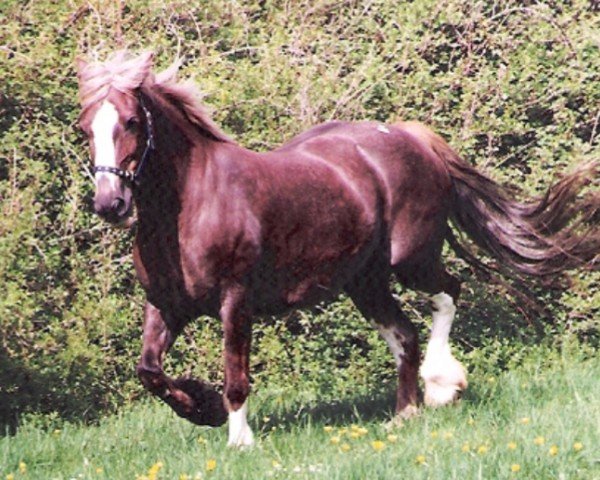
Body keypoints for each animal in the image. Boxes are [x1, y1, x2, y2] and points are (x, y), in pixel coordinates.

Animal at [77, 51, 596, 446]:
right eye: (85, 127)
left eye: (131, 121)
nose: (110, 203)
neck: (190, 206)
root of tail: (411, 136)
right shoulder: (166, 304)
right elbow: (149, 370)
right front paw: (200, 407)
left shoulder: (235, 300)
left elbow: (235, 375)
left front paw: (238, 438)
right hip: (364, 282)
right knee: (404, 333)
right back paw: (404, 414)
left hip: (412, 260)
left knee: (449, 293)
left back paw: (442, 385)